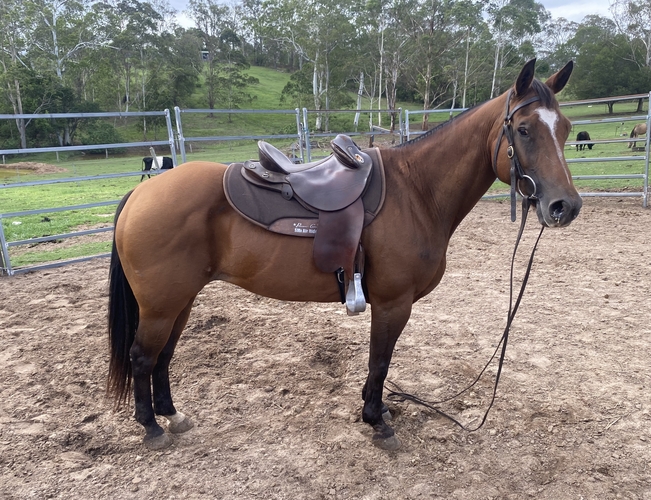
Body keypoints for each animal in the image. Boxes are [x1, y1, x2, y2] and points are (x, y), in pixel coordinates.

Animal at [107, 59, 582, 451]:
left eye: (564, 128)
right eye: (524, 130)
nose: (566, 207)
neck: (417, 191)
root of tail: (141, 193)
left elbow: (379, 363)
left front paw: (378, 410)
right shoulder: (393, 303)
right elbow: (380, 361)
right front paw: (377, 421)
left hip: (181, 299)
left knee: (164, 356)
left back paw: (173, 416)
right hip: (162, 304)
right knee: (142, 357)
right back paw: (151, 428)